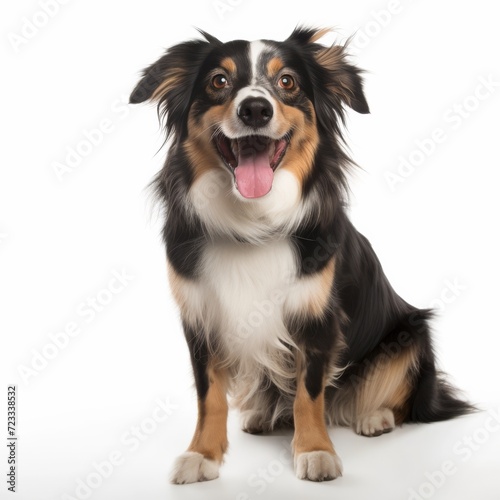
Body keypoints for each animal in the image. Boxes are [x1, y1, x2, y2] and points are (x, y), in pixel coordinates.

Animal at [130, 28, 472, 484]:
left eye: (287, 81)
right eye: (219, 80)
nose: (255, 108)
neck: (253, 223)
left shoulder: (317, 317)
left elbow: (309, 393)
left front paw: (314, 451)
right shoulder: (200, 318)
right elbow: (209, 395)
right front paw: (202, 453)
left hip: (411, 333)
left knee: (403, 401)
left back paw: (374, 416)